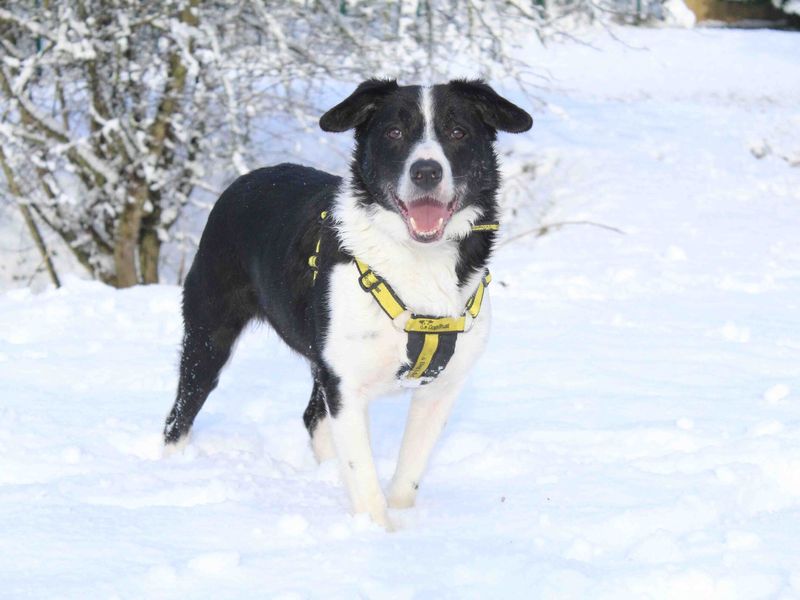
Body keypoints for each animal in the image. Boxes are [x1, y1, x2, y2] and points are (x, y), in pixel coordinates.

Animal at [164, 79, 532, 528]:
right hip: (209, 333)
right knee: (180, 414)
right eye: (394, 132)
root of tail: (245, 180)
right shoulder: (346, 385)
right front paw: (377, 533)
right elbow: (364, 477)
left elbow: (408, 473)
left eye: (458, 132)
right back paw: (171, 468)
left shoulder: (438, 389)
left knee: (312, 418)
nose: (426, 171)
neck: (417, 261)